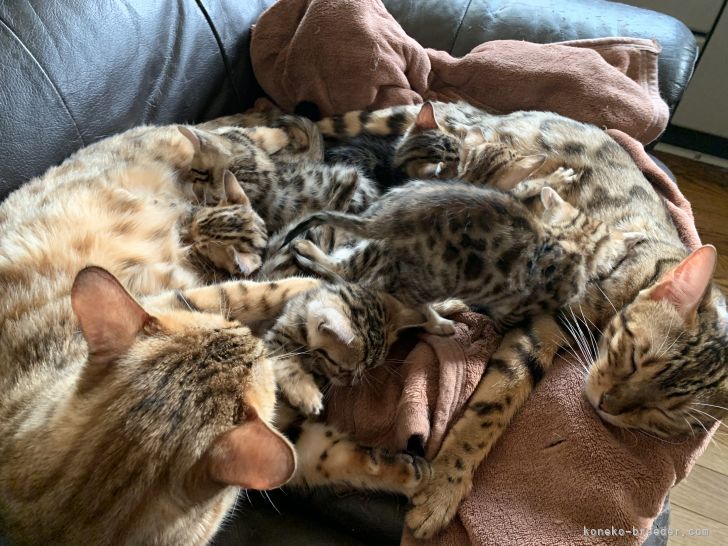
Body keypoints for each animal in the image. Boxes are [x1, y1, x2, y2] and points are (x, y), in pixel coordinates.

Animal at [0, 124, 430, 544]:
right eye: (259, 368)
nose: (254, 337)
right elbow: (326, 454)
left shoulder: (180, 298)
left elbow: (249, 289)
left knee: (228, 131)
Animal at [314, 101, 728, 536]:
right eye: (634, 357)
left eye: (663, 414)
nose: (607, 405)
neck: (643, 273)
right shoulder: (543, 322)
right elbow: (493, 405)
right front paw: (444, 486)